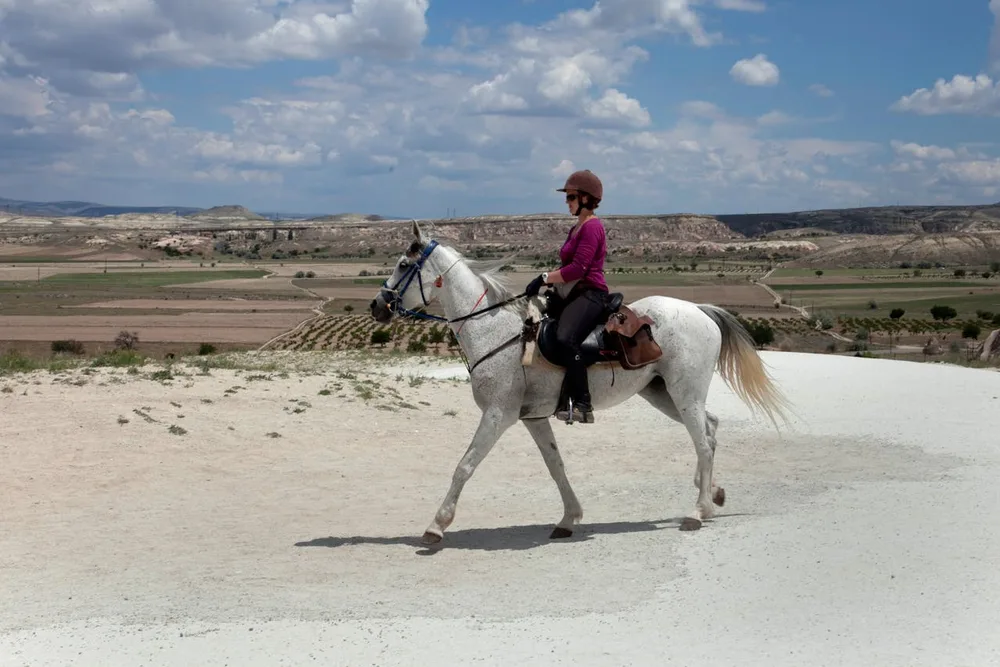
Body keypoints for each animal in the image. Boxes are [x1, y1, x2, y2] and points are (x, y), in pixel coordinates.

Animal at [369, 220, 791, 545]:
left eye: (404, 264)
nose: (377, 306)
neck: (493, 330)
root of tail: (700, 310)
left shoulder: (497, 415)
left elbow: (465, 465)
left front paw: (435, 526)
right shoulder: (533, 418)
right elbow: (556, 466)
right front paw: (568, 519)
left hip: (684, 394)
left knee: (702, 441)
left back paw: (698, 511)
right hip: (663, 394)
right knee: (712, 428)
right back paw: (712, 493)